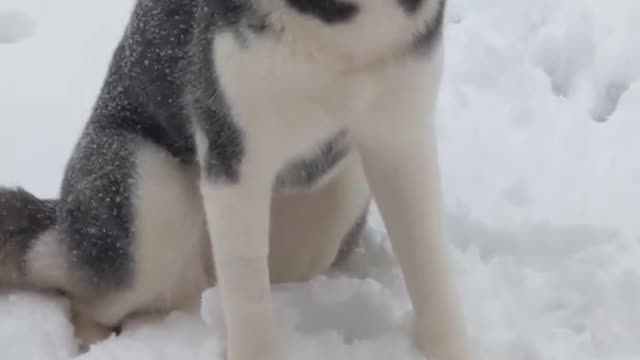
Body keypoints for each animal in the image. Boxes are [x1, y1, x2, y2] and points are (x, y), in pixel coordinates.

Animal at [0, 0, 470, 358]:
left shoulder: (402, 136)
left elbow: (430, 269)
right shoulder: (234, 152)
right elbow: (248, 297)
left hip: (333, 209)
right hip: (148, 198)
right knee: (77, 286)